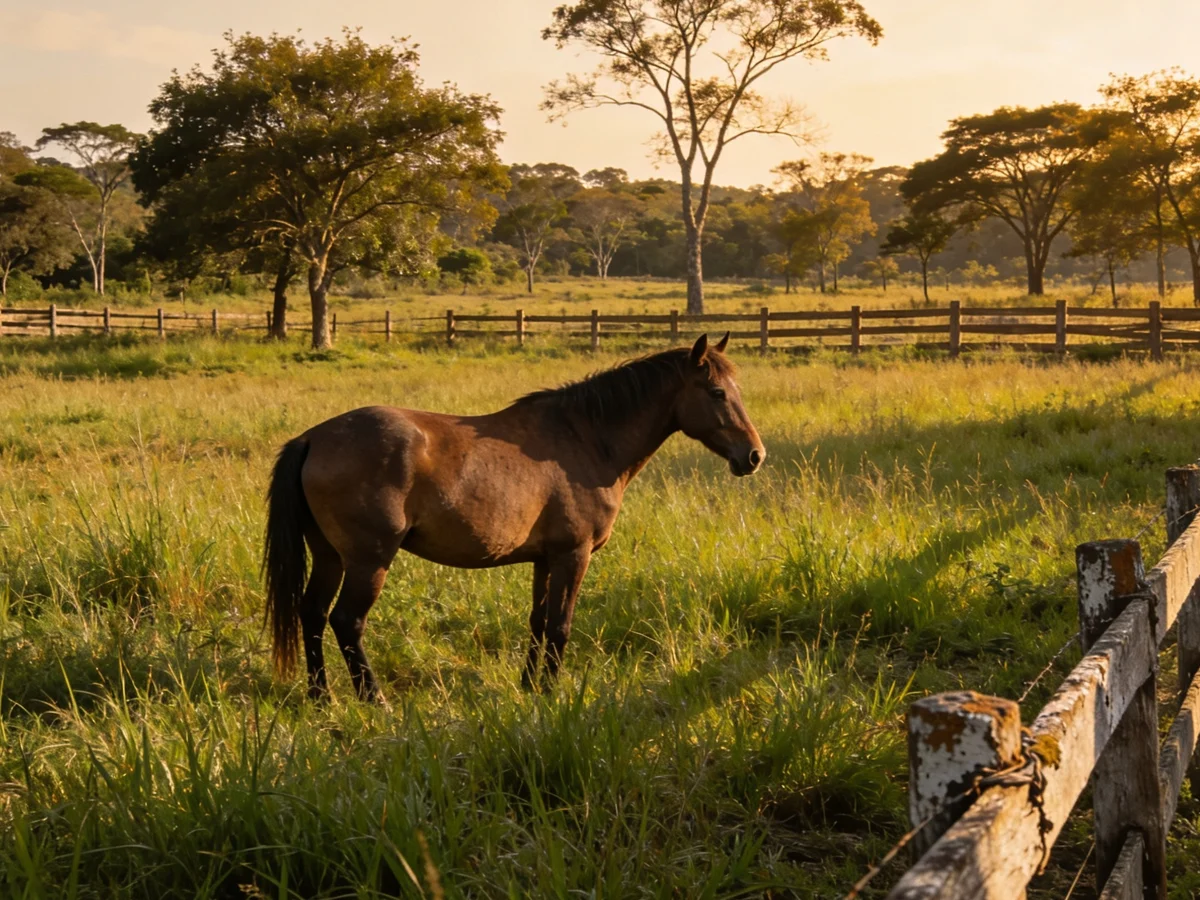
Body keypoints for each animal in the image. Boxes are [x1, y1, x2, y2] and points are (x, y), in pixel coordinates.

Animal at [263, 333, 765, 701]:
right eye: (717, 392)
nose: (754, 455)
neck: (586, 439)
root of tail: (312, 438)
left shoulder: (544, 559)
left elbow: (538, 623)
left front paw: (530, 688)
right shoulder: (574, 555)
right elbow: (560, 626)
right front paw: (551, 693)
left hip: (329, 557)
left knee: (312, 614)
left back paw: (321, 698)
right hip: (369, 561)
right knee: (347, 621)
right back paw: (374, 699)